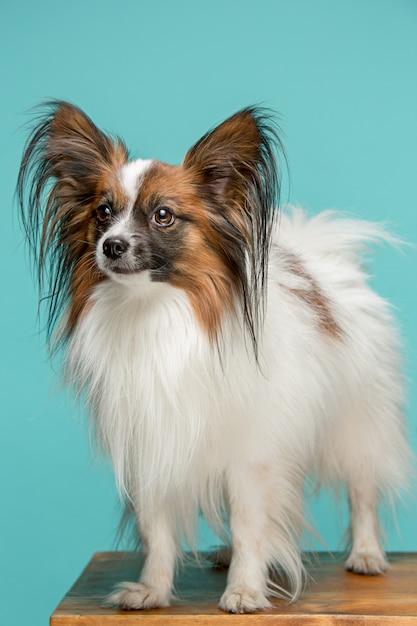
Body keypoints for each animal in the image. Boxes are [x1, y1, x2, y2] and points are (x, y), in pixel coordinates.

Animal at [17, 101, 410, 608]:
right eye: (103, 212)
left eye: (163, 216)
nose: (111, 246)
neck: (156, 312)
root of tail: (325, 263)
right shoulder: (153, 444)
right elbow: (158, 530)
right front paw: (152, 590)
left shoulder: (253, 454)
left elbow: (250, 524)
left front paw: (244, 590)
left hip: (356, 422)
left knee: (363, 491)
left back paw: (366, 554)